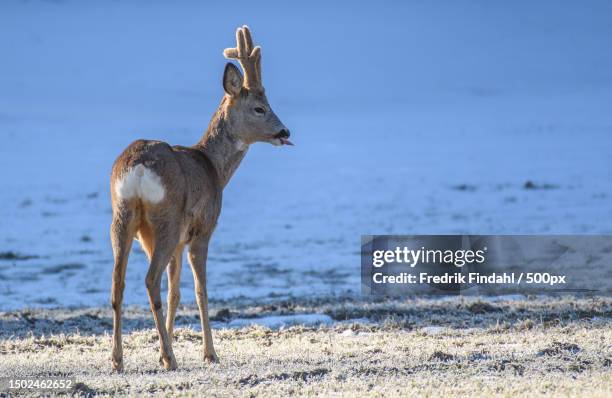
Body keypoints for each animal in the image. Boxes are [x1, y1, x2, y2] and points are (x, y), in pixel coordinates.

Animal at [110, 26, 292, 372]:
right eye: (259, 108)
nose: (285, 132)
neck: (214, 168)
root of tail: (138, 167)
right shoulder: (202, 230)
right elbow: (200, 290)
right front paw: (209, 353)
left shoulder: (179, 243)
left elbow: (175, 292)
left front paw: (162, 348)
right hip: (166, 219)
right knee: (150, 281)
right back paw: (170, 360)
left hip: (123, 218)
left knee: (119, 284)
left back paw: (117, 359)